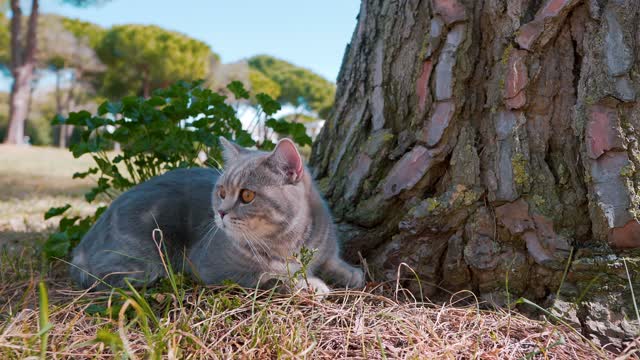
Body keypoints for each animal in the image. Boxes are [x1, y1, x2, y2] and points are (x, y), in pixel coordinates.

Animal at [70, 136, 364, 294]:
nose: (220, 212)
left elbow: (336, 263)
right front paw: (310, 283)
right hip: (144, 260)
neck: (290, 242)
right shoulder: (218, 268)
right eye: (221, 192)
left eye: (247, 195)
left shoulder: (326, 250)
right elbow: (272, 275)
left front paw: (350, 273)